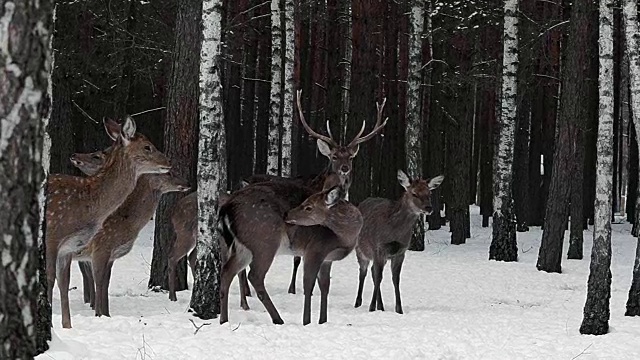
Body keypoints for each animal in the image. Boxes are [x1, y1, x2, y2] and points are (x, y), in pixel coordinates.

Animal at [45, 116, 172, 330]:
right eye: (147, 147)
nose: (168, 162)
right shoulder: (52, 238)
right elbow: (49, 279)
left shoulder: (68, 247)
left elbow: (64, 282)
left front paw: (67, 326)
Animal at [219, 174, 362, 326]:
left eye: (308, 207)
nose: (286, 214)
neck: (345, 237)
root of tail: (226, 209)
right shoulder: (315, 249)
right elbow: (308, 284)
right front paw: (307, 321)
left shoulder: (327, 258)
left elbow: (325, 286)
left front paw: (323, 321)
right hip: (265, 241)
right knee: (254, 275)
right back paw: (278, 319)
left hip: (243, 248)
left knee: (227, 272)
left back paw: (224, 320)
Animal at [352, 170, 442, 314]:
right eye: (414, 193)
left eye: (429, 193)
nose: (429, 208)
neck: (394, 232)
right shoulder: (379, 248)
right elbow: (379, 277)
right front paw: (371, 308)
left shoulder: (401, 251)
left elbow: (396, 279)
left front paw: (399, 309)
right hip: (360, 250)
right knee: (363, 271)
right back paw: (358, 303)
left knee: (372, 271)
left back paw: (381, 306)